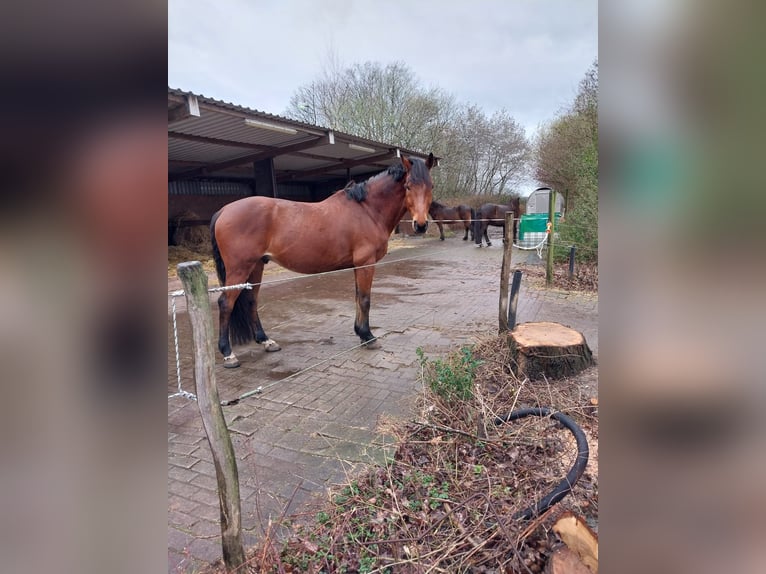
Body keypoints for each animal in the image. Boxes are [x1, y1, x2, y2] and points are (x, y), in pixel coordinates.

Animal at [210, 153, 438, 368]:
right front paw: (368, 337)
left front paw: (360, 333)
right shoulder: (366, 263)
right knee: (225, 303)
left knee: (251, 301)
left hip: (256, 266)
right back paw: (228, 354)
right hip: (239, 268)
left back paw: (266, 341)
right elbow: (365, 299)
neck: (367, 210)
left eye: (431, 186)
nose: (420, 225)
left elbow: (358, 297)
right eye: (408, 186)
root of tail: (224, 210)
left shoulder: (358, 265)